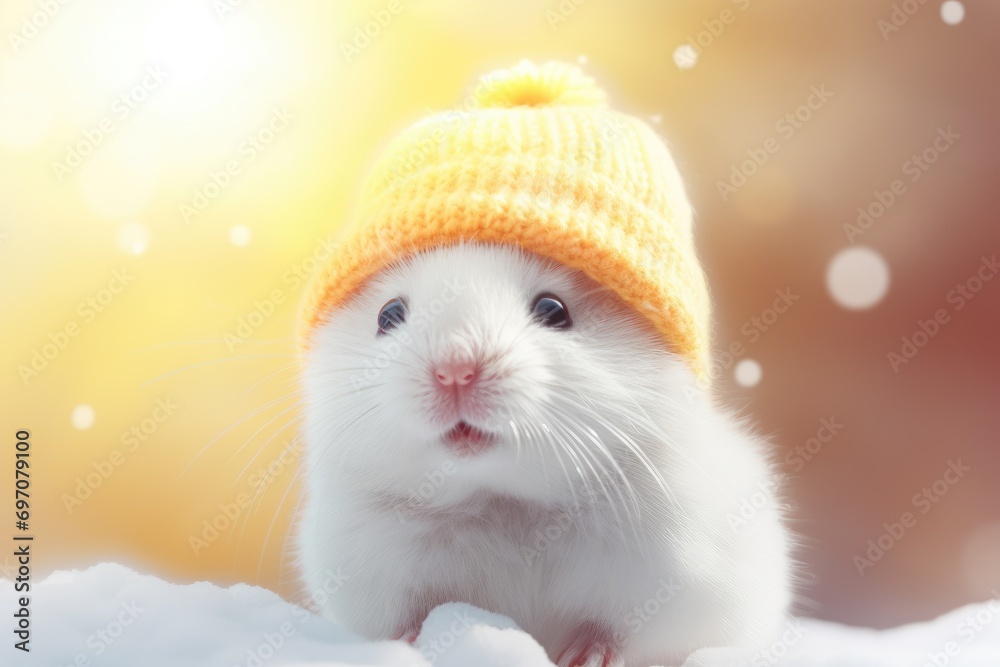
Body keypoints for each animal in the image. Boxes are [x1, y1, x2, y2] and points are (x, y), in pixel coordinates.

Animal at [296, 242, 793, 667]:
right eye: (388, 315)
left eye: (554, 310)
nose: (455, 371)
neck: (504, 499)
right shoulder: (372, 580)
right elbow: (404, 622)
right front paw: (412, 645)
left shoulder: (679, 585)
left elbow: (622, 632)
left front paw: (584, 656)